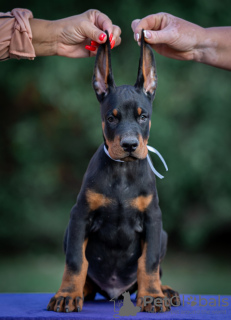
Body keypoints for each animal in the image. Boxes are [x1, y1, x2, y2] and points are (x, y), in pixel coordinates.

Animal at [47, 31, 180, 312]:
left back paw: (164, 290)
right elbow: (75, 261)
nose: (129, 145)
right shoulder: (80, 216)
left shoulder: (153, 218)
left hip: (162, 235)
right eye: (111, 118)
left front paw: (152, 295)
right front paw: (67, 295)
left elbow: (149, 263)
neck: (123, 172)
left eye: (143, 117)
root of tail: (115, 292)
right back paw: (82, 291)